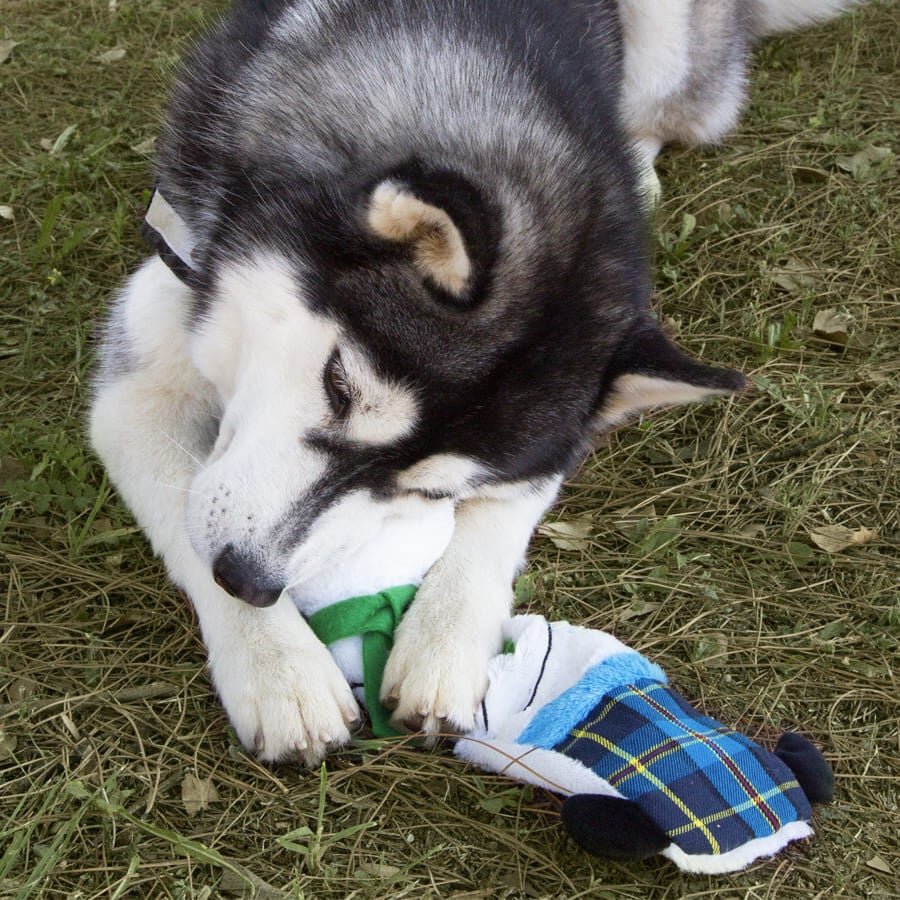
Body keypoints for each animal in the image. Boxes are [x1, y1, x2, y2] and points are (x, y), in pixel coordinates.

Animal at [91, 0, 856, 764]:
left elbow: (496, 526)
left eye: (431, 492)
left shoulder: (550, 447)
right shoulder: (149, 351)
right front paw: (279, 668)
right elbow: (184, 505)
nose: (246, 579)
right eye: (338, 385)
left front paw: (444, 647)